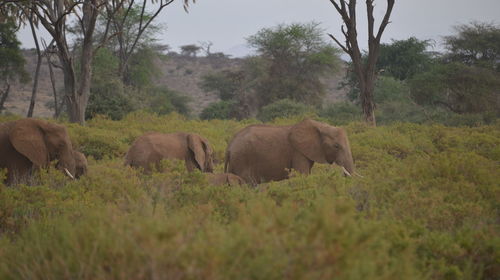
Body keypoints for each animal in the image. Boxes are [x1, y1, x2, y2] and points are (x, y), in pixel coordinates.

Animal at [225, 117, 358, 184]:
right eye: (336, 146)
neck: (320, 126)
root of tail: (230, 146)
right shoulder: (297, 152)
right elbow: (302, 174)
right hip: (242, 159)